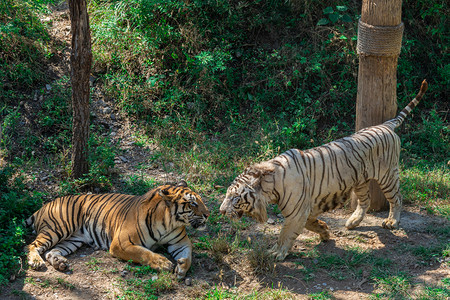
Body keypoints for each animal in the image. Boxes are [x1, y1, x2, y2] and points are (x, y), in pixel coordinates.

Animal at [27, 180, 210, 278]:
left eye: (200, 200)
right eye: (193, 203)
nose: (208, 214)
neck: (169, 222)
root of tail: (44, 206)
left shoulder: (181, 242)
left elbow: (188, 255)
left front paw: (181, 268)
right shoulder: (121, 243)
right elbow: (144, 253)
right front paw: (163, 263)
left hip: (72, 240)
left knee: (51, 251)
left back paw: (60, 263)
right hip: (58, 228)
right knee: (33, 245)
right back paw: (36, 262)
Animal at [221, 79, 428, 260]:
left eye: (235, 197)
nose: (221, 211)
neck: (268, 187)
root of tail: (385, 125)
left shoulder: (296, 211)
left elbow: (285, 233)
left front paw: (276, 253)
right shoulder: (306, 208)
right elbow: (310, 224)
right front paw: (325, 232)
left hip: (387, 175)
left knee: (397, 198)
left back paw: (392, 221)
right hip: (360, 179)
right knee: (365, 201)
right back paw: (353, 222)